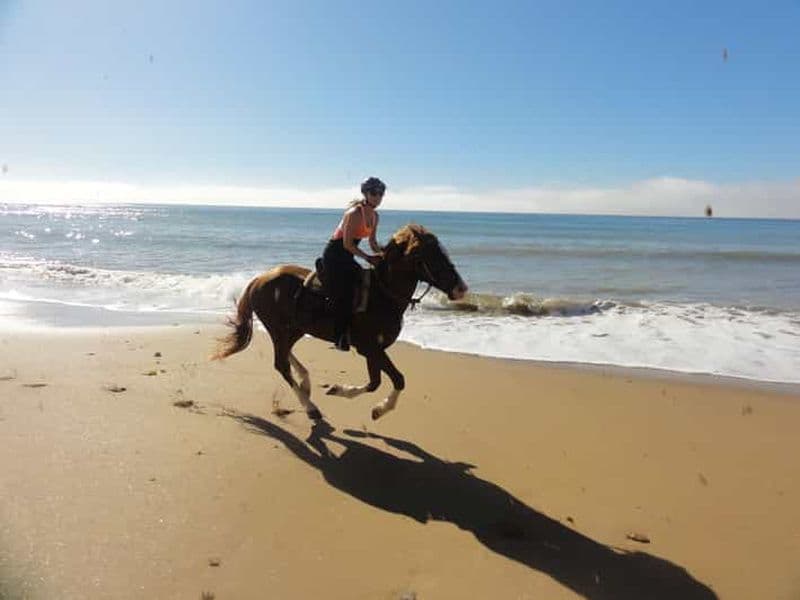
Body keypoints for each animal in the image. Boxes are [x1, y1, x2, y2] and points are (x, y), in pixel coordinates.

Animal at [213, 224, 468, 421]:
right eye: (426, 256)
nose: (461, 288)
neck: (382, 295)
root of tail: (259, 279)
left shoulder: (374, 350)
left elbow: (375, 382)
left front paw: (343, 393)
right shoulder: (370, 347)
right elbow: (398, 379)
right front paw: (380, 408)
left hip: (294, 328)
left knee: (286, 354)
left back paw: (305, 381)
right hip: (279, 328)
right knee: (281, 364)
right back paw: (310, 407)